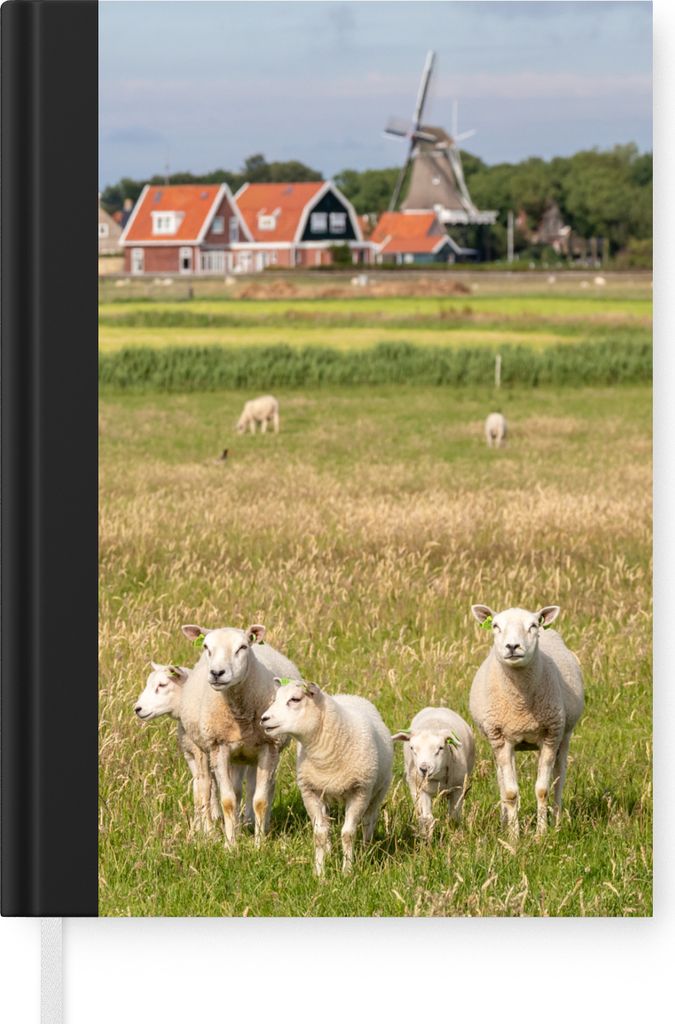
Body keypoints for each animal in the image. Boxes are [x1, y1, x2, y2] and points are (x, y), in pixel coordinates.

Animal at [134, 661, 254, 835]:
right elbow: (198, 788)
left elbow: (205, 787)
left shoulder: (202, 753)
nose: (138, 709)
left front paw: (209, 831)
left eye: (162, 685)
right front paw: (201, 825)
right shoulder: (190, 754)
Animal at [181, 623, 301, 847]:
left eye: (242, 647)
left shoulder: (268, 747)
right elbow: (228, 800)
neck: (240, 712)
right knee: (211, 788)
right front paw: (230, 845)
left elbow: (260, 800)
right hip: (212, 751)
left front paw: (259, 845)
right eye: (206, 647)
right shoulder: (218, 747)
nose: (217, 673)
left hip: (251, 755)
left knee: (255, 788)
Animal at [260, 679, 393, 875]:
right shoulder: (310, 792)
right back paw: (330, 852)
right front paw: (319, 873)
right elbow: (319, 835)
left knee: (369, 821)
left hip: (379, 790)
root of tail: (349, 695)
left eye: (295, 699)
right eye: (275, 698)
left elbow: (348, 834)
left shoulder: (359, 791)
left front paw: (347, 871)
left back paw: (365, 850)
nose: (264, 719)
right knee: (329, 825)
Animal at [392, 707, 475, 835]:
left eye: (440, 748)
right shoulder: (421, 789)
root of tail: (437, 708)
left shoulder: (459, 787)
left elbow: (454, 815)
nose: (424, 769)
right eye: (412, 748)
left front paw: (453, 832)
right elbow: (427, 818)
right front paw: (426, 836)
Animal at [469, 604, 584, 838]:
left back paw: (557, 821)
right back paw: (504, 821)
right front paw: (513, 836)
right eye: (495, 626)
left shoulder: (550, 736)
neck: (520, 706)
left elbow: (543, 789)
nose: (513, 646)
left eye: (532, 626)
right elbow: (510, 792)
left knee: (559, 778)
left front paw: (541, 835)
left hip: (563, 735)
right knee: (501, 781)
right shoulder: (501, 739)